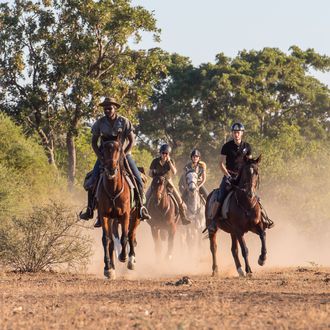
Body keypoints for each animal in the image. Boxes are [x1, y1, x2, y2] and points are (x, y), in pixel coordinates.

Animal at [96, 139, 141, 278]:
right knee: (112, 241)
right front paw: (108, 268)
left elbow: (125, 237)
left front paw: (124, 256)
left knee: (131, 235)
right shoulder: (105, 215)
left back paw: (131, 260)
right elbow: (107, 240)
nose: (111, 169)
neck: (113, 189)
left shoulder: (125, 215)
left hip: (135, 217)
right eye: (103, 149)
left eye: (118, 149)